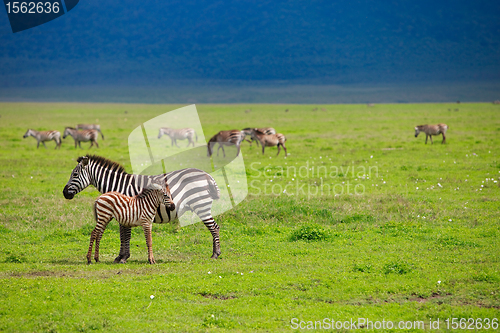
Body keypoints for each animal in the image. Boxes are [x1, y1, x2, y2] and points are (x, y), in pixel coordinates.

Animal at [62, 155, 221, 262]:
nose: (64, 193)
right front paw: (121, 256)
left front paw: (123, 257)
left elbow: (125, 236)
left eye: (75, 174)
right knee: (215, 226)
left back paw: (216, 254)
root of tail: (207, 175)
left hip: (201, 205)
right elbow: (123, 235)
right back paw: (215, 252)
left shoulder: (126, 211)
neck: (119, 186)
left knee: (214, 227)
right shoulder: (124, 213)